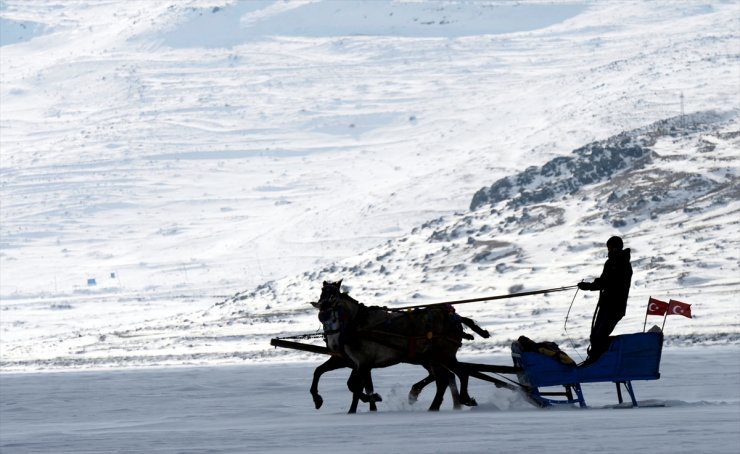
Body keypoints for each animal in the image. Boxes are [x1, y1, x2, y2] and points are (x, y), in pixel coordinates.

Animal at [314, 280, 492, 412]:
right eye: (321, 295)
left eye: (333, 297)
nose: (334, 345)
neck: (358, 324)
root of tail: (455, 317)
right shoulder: (358, 363)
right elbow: (352, 383)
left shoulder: (363, 362)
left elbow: (354, 386)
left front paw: (371, 400)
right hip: (434, 358)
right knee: (447, 377)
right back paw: (438, 403)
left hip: (442, 355)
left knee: (457, 374)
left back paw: (458, 400)